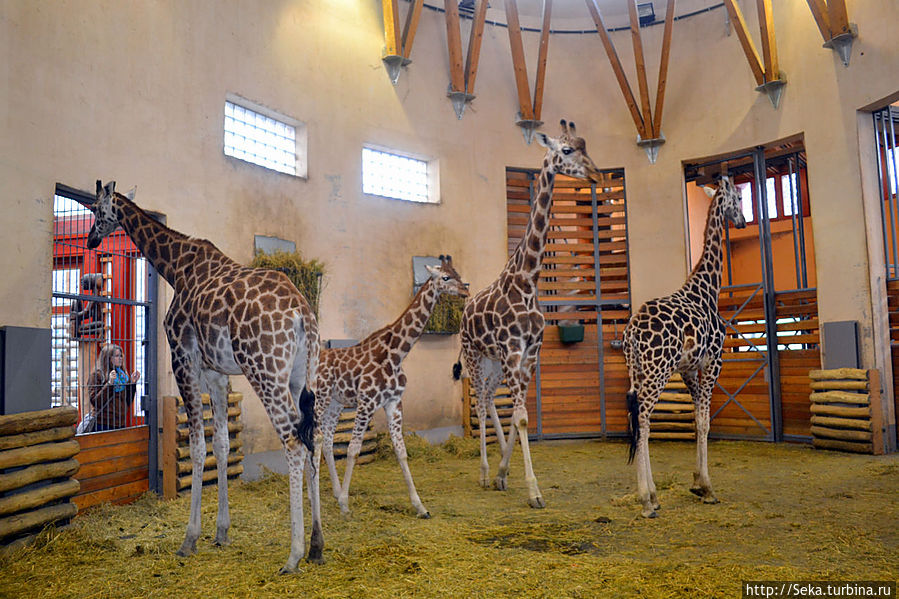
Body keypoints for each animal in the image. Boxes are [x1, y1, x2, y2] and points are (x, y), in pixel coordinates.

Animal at [87, 180, 324, 576]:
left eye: (95, 209)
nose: (91, 240)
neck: (176, 267)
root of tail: (302, 314)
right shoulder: (216, 372)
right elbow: (223, 445)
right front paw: (222, 532)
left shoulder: (184, 359)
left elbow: (198, 447)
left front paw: (190, 539)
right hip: (300, 376)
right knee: (314, 437)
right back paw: (318, 545)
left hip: (265, 371)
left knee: (293, 440)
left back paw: (293, 555)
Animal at [316, 255, 472, 516]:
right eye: (445, 277)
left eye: (458, 274)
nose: (465, 291)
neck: (397, 354)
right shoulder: (367, 402)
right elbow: (353, 449)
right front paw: (345, 505)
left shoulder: (394, 403)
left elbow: (401, 452)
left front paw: (420, 506)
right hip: (320, 397)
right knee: (313, 437)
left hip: (336, 403)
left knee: (326, 440)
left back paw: (335, 491)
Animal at [450, 119, 604, 508]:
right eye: (566, 150)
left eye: (586, 145)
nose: (596, 174)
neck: (528, 279)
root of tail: (464, 312)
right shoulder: (513, 349)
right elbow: (520, 417)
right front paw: (532, 490)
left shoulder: (531, 353)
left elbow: (521, 415)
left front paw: (507, 474)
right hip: (475, 356)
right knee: (479, 401)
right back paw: (483, 472)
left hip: (493, 362)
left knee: (490, 399)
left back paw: (495, 471)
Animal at [624, 176, 748, 516]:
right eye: (740, 197)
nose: (743, 221)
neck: (707, 289)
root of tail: (631, 334)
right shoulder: (713, 362)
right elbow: (705, 423)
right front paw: (706, 487)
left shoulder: (689, 371)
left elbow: (696, 421)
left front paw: (696, 483)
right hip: (657, 372)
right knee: (644, 419)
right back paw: (647, 499)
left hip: (638, 372)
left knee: (638, 421)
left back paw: (652, 495)